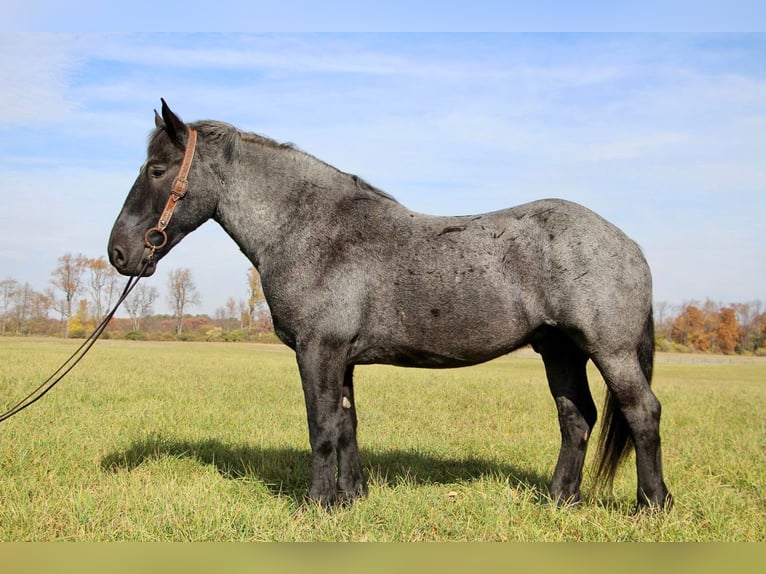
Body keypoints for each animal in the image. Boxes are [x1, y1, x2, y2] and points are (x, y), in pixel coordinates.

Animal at [108, 101, 672, 510]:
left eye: (156, 169)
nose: (119, 253)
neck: (314, 231)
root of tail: (628, 244)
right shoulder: (340, 357)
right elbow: (346, 424)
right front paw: (350, 499)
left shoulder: (318, 351)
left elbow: (321, 427)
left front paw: (314, 505)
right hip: (559, 350)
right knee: (576, 418)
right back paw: (560, 500)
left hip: (609, 350)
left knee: (642, 412)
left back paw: (652, 504)